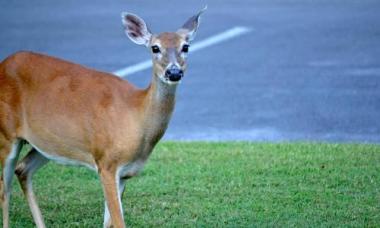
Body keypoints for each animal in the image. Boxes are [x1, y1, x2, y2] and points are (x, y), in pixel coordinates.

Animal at [0, 7, 206, 228]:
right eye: (155, 48)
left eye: (185, 46)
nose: (174, 72)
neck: (136, 117)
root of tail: (4, 63)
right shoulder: (106, 162)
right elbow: (119, 221)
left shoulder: (124, 174)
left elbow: (109, 222)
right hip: (6, 133)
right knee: (5, 189)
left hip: (47, 144)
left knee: (22, 170)